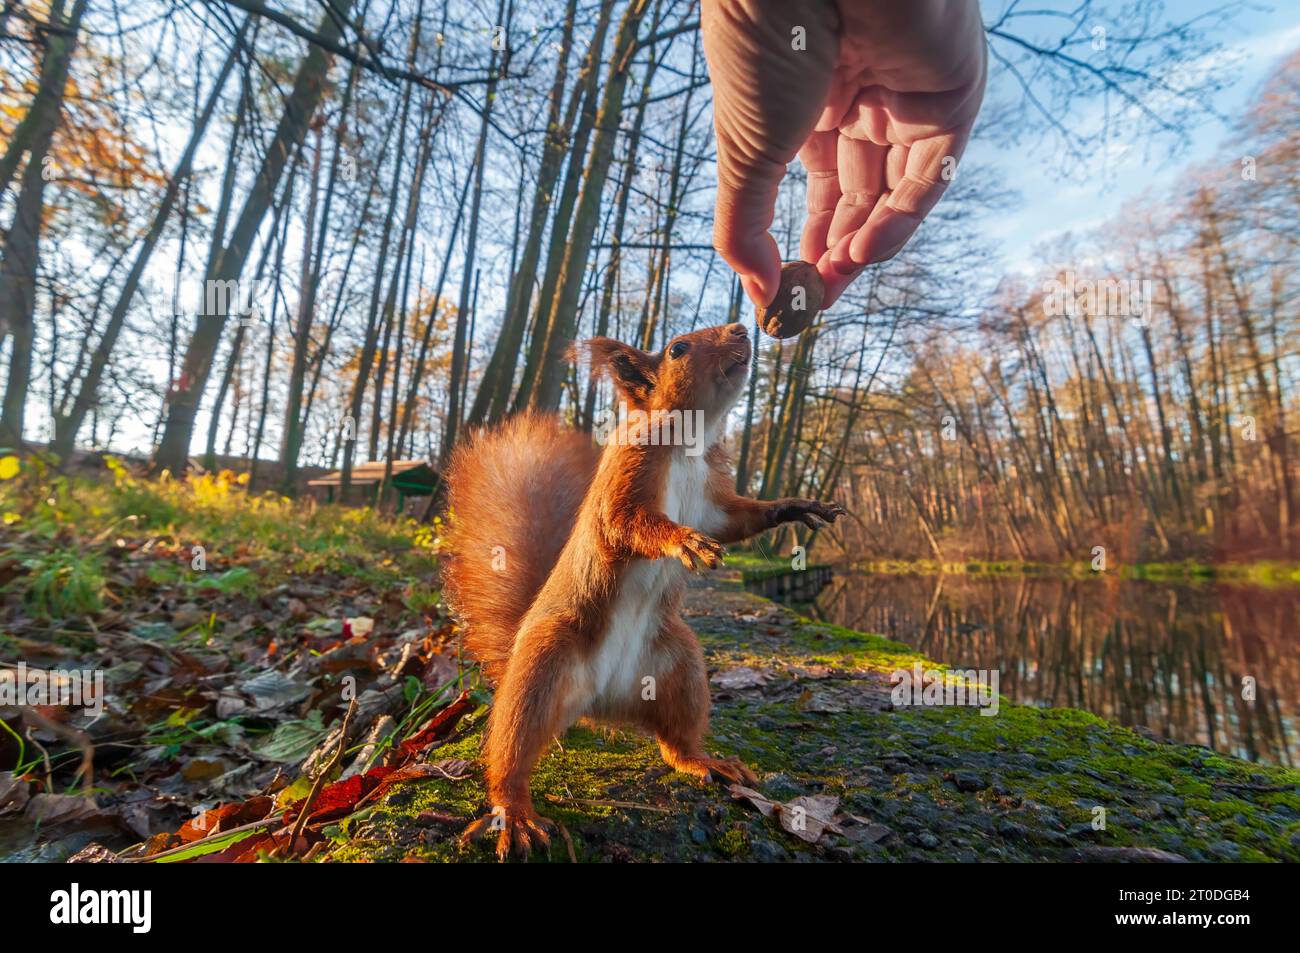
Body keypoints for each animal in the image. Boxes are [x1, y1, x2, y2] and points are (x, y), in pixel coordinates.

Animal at [441, 321, 847, 863]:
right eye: (678, 349)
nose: (742, 328)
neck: (691, 440)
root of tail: (596, 704)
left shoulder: (714, 503)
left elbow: (740, 519)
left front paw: (795, 506)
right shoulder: (629, 471)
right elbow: (627, 522)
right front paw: (682, 540)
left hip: (679, 665)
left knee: (675, 740)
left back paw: (705, 762)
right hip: (543, 665)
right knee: (512, 749)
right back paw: (517, 813)